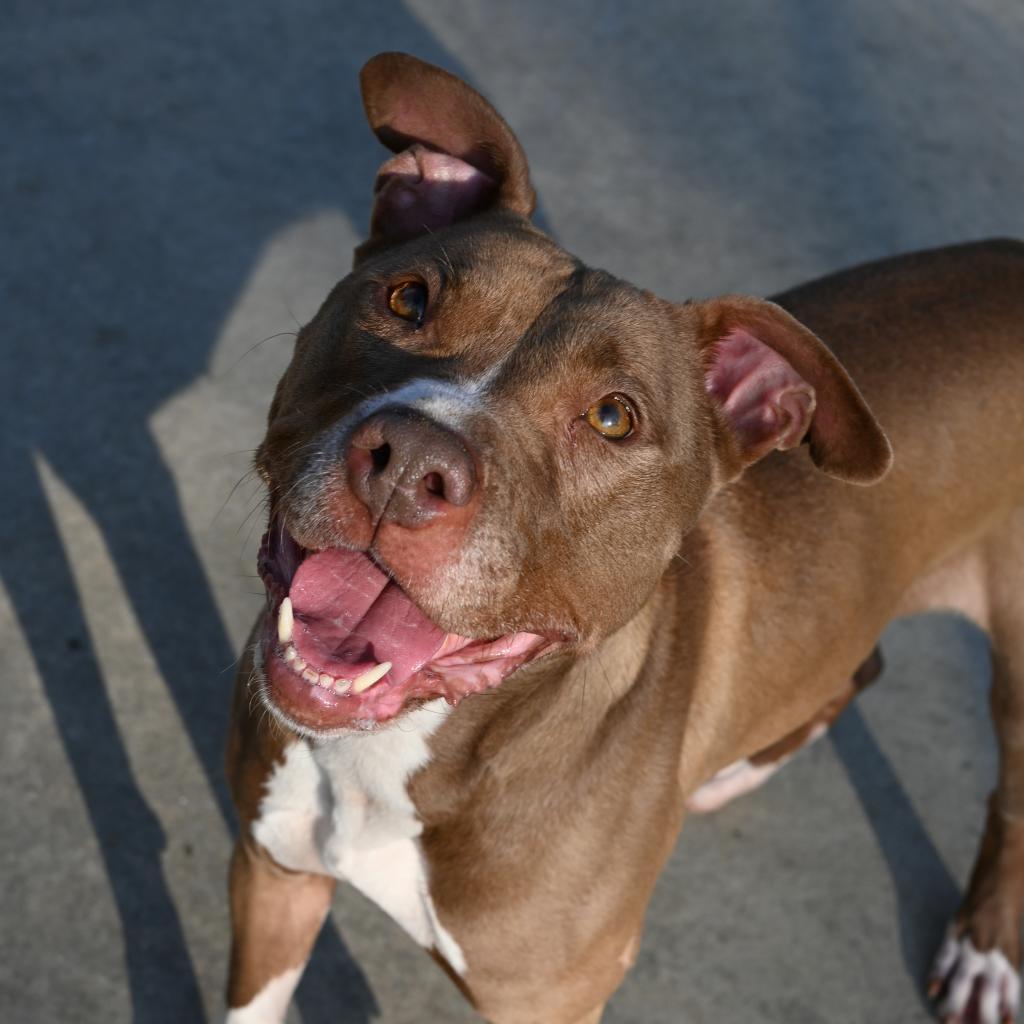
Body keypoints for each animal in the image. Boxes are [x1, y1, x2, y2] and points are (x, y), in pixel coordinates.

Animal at [224, 54, 1024, 1024]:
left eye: (614, 418)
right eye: (408, 298)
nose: (409, 460)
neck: (393, 758)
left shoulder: (550, 1001)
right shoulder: (271, 875)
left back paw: (986, 952)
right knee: (857, 664)